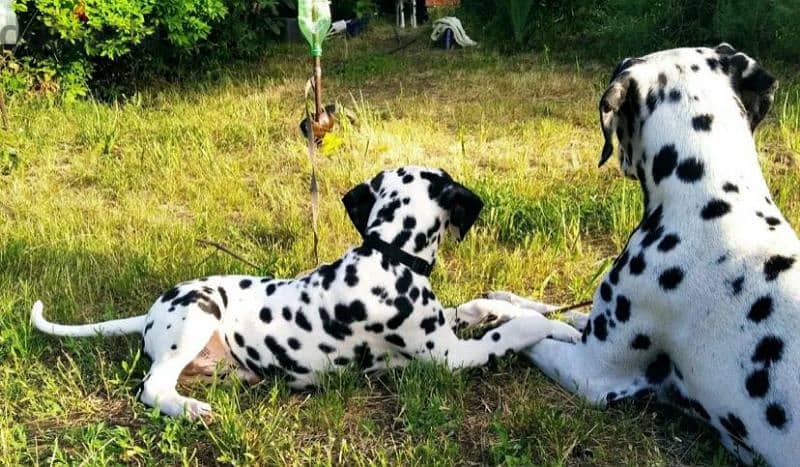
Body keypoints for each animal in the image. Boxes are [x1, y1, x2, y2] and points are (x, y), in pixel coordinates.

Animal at [31, 167, 580, 420]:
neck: (389, 253)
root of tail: (150, 311)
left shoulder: (447, 321)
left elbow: (486, 303)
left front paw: (546, 312)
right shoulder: (451, 356)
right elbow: (513, 331)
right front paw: (554, 325)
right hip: (198, 314)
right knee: (153, 384)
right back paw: (189, 409)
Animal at [460, 44, 800, 467]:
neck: (712, 202)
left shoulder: (591, 371)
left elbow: (535, 326)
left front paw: (490, 314)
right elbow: (549, 309)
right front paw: (497, 301)